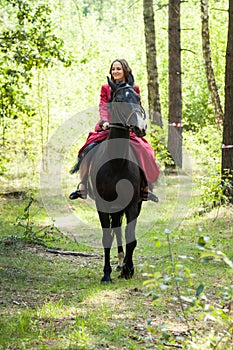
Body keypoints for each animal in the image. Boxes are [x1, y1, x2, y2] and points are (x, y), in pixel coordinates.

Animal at [83, 78, 147, 284]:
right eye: (118, 99)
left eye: (138, 98)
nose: (140, 128)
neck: (117, 164)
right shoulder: (102, 205)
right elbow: (106, 237)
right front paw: (106, 274)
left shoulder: (133, 204)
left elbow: (130, 237)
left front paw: (128, 269)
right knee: (115, 230)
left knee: (120, 229)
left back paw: (122, 263)